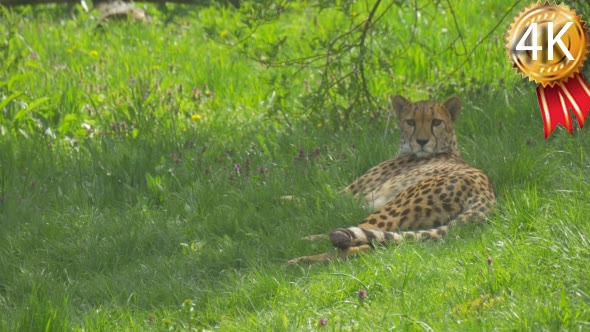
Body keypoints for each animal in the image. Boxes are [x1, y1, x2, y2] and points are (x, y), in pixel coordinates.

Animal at [290, 95, 498, 264]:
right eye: (411, 122)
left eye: (436, 122)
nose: (422, 141)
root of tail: (487, 191)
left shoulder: (348, 197)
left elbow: (307, 197)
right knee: (371, 240)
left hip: (395, 207)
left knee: (358, 241)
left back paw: (302, 259)